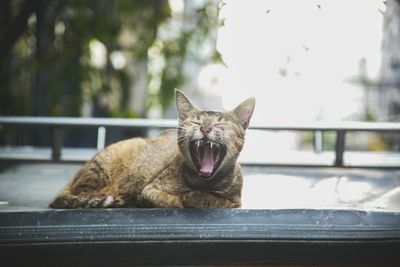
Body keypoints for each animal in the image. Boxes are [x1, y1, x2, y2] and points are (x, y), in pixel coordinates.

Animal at [50, 90, 255, 209]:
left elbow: (216, 201)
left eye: (221, 125)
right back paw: (102, 199)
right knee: (77, 194)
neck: (202, 183)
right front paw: (186, 198)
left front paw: (197, 197)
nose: (205, 128)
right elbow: (173, 202)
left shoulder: (235, 201)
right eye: (195, 122)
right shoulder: (150, 189)